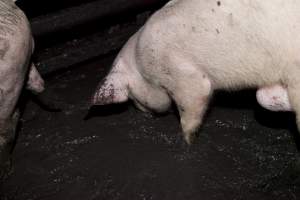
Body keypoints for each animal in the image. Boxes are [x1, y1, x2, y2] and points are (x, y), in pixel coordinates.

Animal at [92, 0, 298, 144]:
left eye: (133, 98)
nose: (144, 113)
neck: (139, 61)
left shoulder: (177, 71)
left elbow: (194, 97)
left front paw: (187, 140)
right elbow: (262, 97)